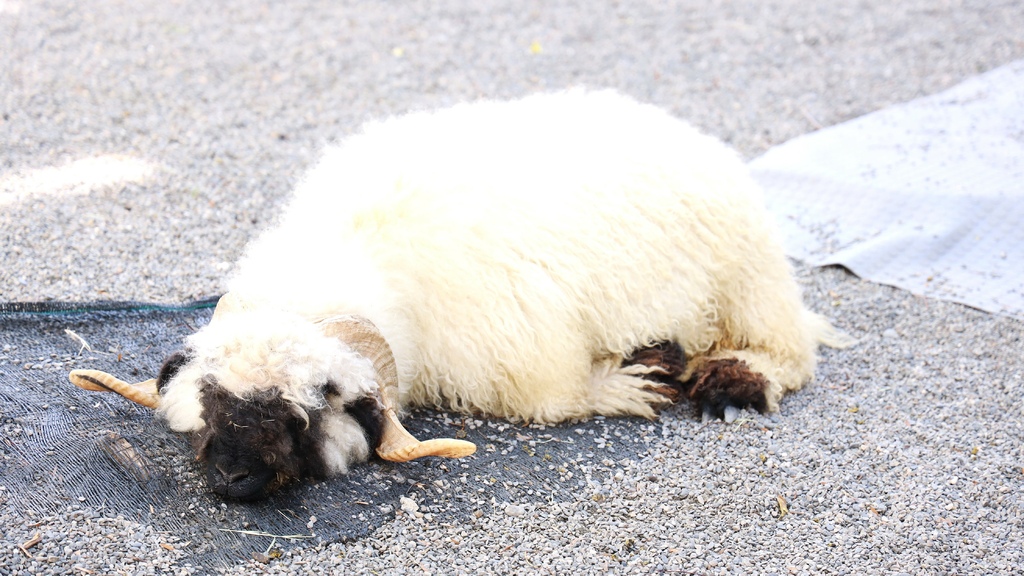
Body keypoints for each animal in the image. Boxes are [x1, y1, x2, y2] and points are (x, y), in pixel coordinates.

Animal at [68, 89, 843, 498]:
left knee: (790, 350)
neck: (356, 249)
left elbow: (558, 397)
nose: (232, 477)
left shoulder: (527, 350)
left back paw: (732, 381)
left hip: (747, 279)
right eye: (211, 404)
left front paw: (622, 386)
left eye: (307, 412)